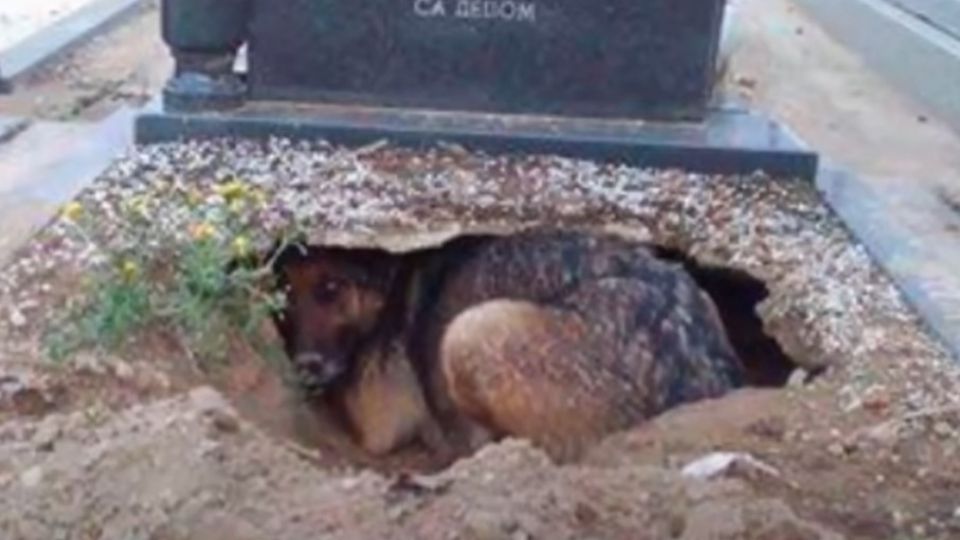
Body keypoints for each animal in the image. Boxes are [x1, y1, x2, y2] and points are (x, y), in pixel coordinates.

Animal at [274, 230, 748, 462]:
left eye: (331, 289)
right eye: (284, 295)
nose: (305, 365)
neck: (393, 284)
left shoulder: (377, 424)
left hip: (470, 332)